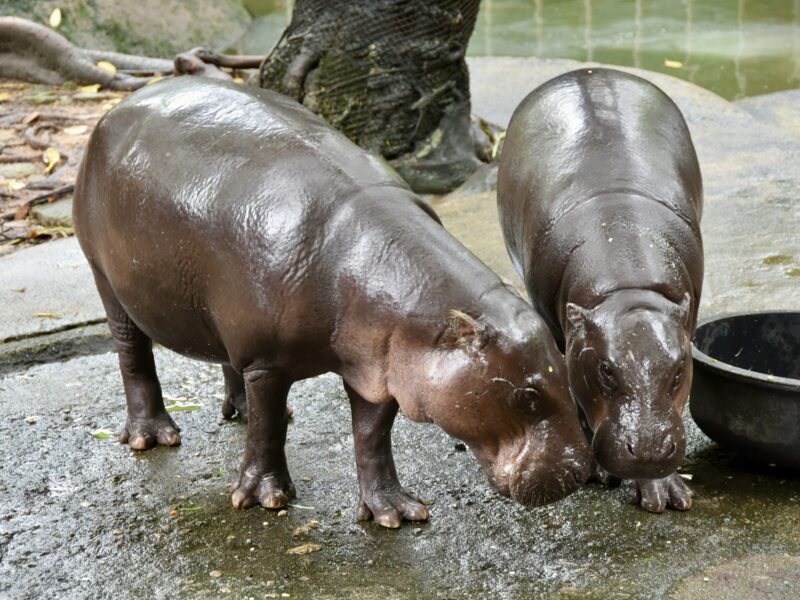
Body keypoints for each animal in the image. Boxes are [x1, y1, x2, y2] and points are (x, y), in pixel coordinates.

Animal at [73, 77, 592, 527]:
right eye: (526, 396)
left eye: (565, 370)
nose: (579, 473)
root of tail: (115, 109)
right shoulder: (268, 362)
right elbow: (269, 432)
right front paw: (264, 497)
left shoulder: (378, 367)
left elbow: (371, 437)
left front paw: (395, 512)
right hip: (104, 276)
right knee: (132, 354)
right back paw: (152, 437)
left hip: (218, 317)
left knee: (227, 362)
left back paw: (241, 412)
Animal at [497, 68, 703, 513]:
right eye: (606, 370)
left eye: (680, 369)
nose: (648, 451)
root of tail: (587, 71)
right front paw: (604, 474)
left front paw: (663, 493)